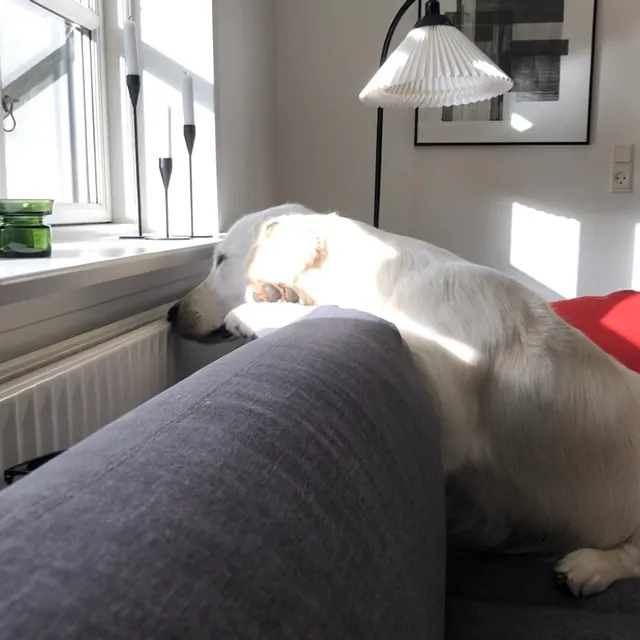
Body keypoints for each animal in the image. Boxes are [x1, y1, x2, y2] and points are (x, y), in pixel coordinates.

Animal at [171, 204, 640, 597]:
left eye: (221, 260)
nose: (171, 313)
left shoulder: (448, 404)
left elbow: (362, 315)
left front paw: (256, 312)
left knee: (632, 556)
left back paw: (588, 567)